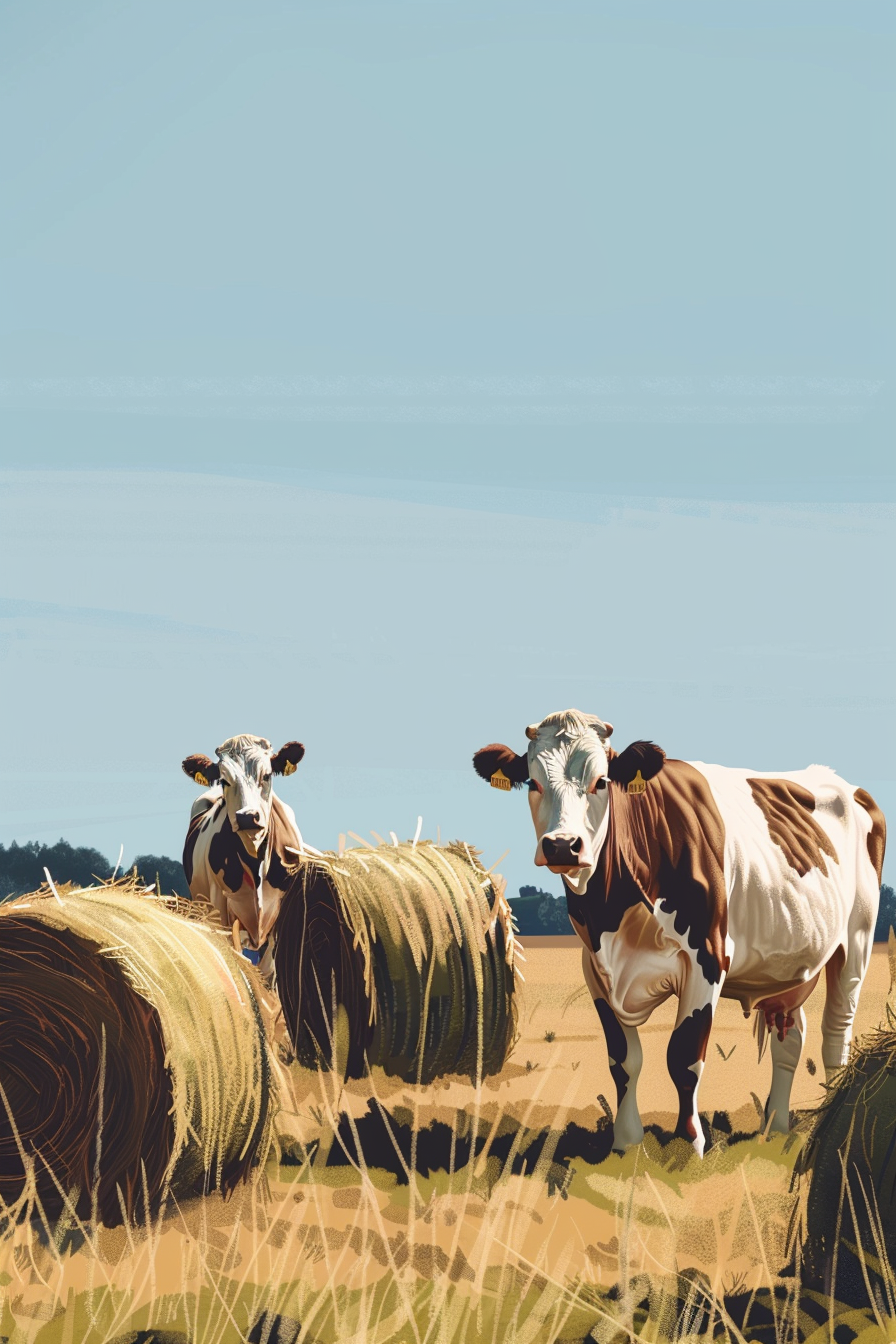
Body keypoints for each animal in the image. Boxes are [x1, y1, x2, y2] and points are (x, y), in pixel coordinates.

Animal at [473, 709, 886, 1156]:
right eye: (532, 783)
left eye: (601, 781)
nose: (563, 845)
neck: (612, 912)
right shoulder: (594, 968)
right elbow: (623, 1061)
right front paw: (626, 1143)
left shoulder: (708, 957)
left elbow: (683, 1056)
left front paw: (690, 1144)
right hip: (790, 965)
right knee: (789, 1039)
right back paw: (774, 1129)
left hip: (856, 942)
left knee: (836, 1036)